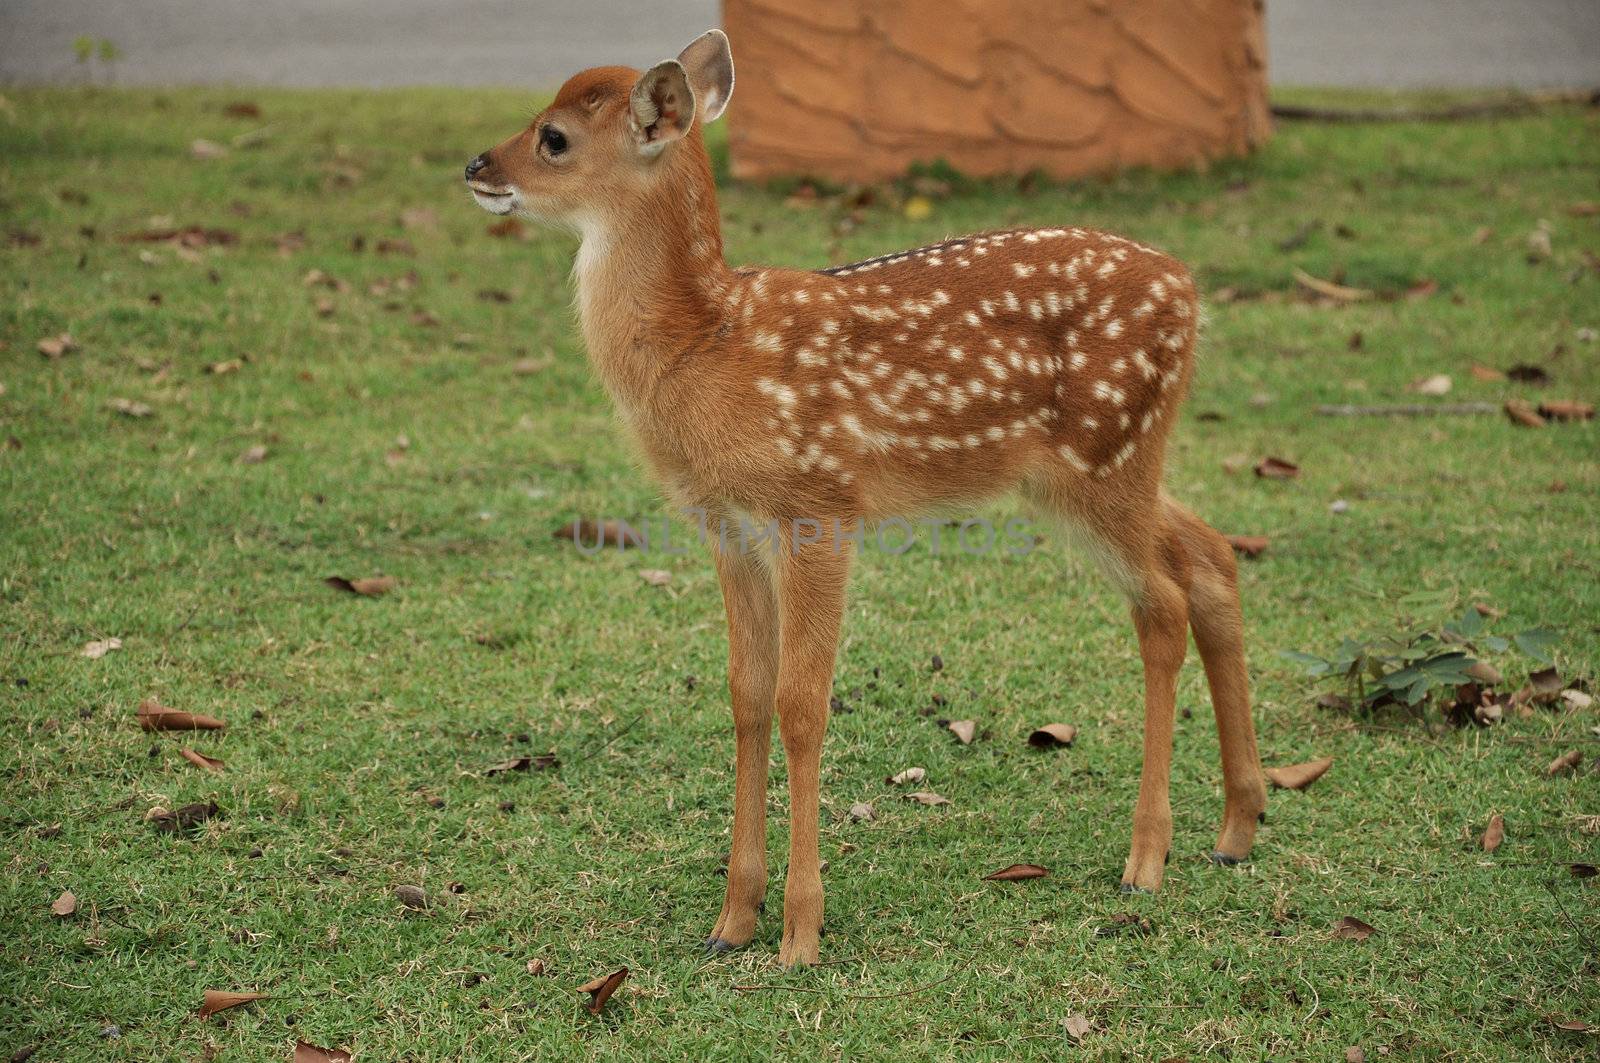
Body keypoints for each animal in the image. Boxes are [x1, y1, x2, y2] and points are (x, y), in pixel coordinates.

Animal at [464, 29, 1260, 966]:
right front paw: (731, 921)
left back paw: (1146, 858)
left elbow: (802, 702)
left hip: (1104, 455)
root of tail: (1190, 291)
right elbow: (746, 693)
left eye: (553, 136)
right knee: (1212, 555)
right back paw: (1237, 826)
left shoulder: (820, 503)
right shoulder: (726, 525)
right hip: (1105, 467)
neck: (709, 345)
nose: (476, 164)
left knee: (1162, 601)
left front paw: (800, 932)